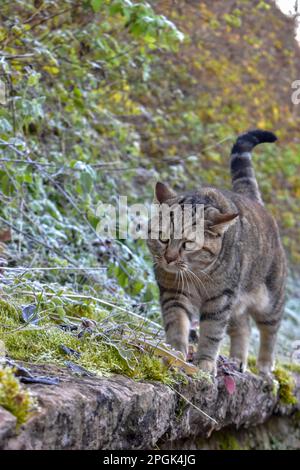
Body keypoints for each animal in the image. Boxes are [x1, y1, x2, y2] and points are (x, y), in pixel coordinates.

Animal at [147, 130, 286, 376]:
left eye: (188, 244)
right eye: (163, 238)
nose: (169, 258)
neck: (196, 275)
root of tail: (252, 199)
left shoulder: (220, 299)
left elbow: (211, 333)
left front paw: (204, 363)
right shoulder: (173, 292)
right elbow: (177, 325)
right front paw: (174, 354)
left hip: (269, 300)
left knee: (270, 330)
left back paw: (264, 367)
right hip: (238, 303)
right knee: (243, 328)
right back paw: (238, 360)